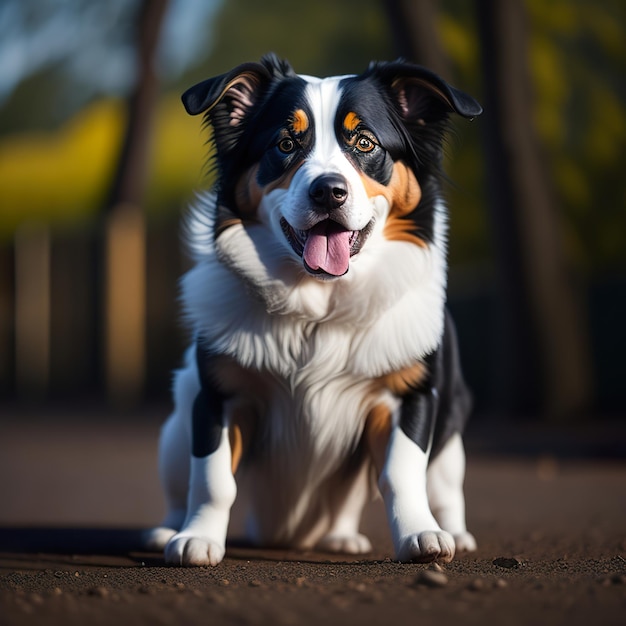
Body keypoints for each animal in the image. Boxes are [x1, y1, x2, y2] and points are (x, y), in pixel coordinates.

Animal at [146, 53, 482, 564]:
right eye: (286, 144)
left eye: (364, 142)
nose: (328, 191)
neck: (319, 310)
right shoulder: (217, 396)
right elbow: (213, 480)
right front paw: (198, 537)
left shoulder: (411, 396)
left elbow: (401, 474)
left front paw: (421, 534)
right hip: (176, 423)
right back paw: (168, 528)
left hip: (450, 429)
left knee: (444, 486)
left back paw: (431, 532)